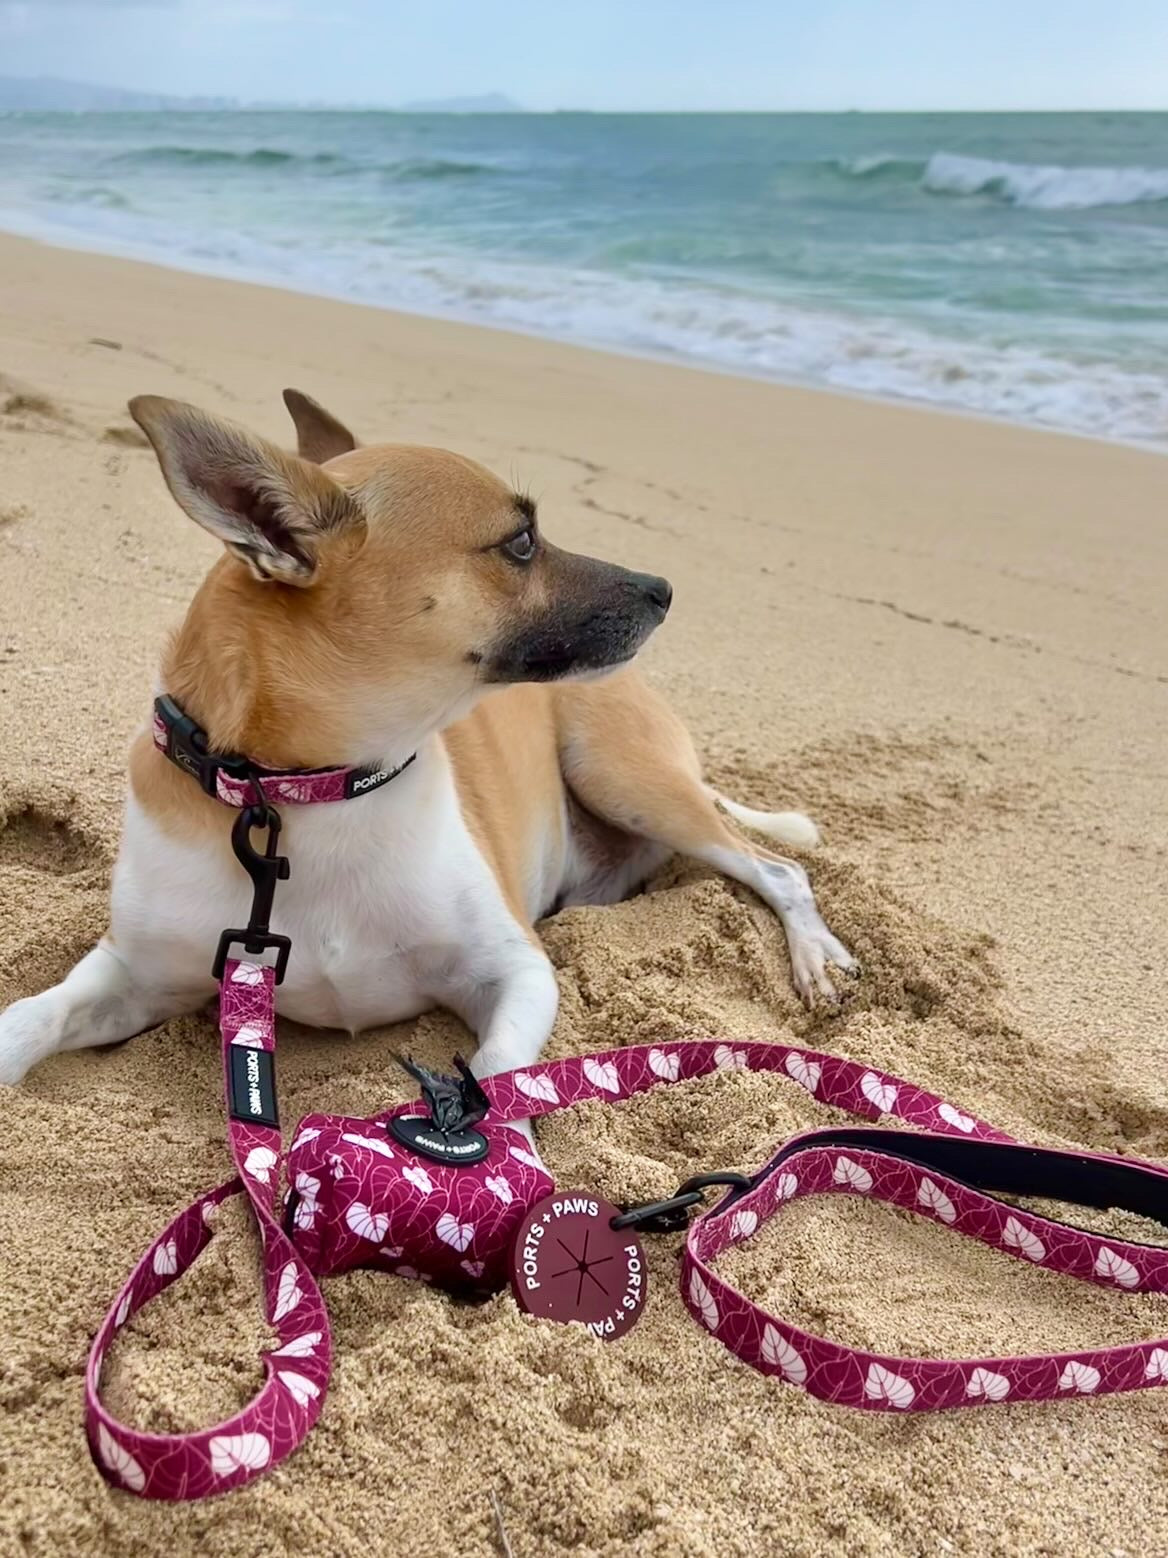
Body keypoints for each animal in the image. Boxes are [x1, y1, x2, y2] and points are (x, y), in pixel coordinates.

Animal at [0, 395, 859, 1090]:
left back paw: (815, 959)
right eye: (521, 542)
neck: (313, 793)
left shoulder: (515, 972)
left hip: (626, 777)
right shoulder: (135, 975)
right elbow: (26, 1020)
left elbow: (496, 1079)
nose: (665, 590)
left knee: (778, 870)